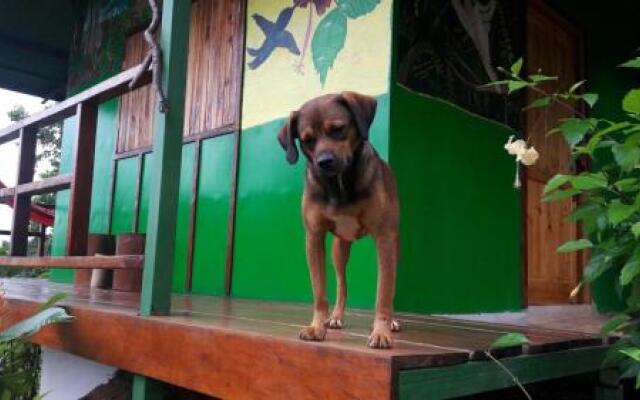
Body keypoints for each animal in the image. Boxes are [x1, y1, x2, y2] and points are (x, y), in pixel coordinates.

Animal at [276, 90, 398, 346]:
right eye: (307, 139)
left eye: (338, 129)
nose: (324, 162)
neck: (339, 184)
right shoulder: (314, 237)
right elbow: (319, 291)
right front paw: (316, 326)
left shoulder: (385, 238)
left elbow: (384, 293)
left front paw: (381, 331)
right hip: (339, 249)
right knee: (342, 283)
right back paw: (336, 317)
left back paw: (391, 322)